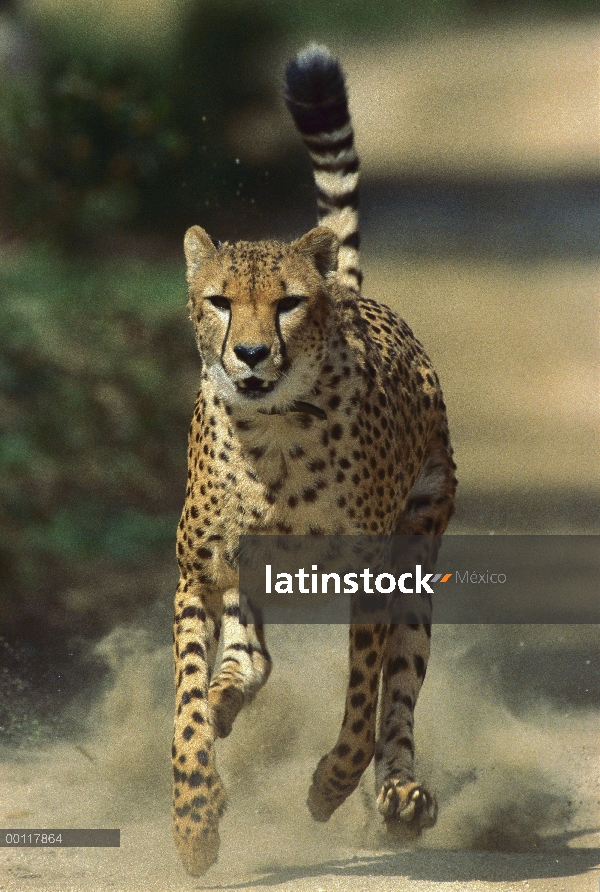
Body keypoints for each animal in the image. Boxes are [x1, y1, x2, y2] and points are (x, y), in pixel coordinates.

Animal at [171, 45, 458, 876]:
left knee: (399, 697)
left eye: (289, 302)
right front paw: (195, 821)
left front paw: (331, 785)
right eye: (220, 300)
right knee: (249, 661)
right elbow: (187, 708)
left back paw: (401, 797)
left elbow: (362, 708)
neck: (272, 435)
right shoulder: (199, 572)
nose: (251, 354)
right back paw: (232, 700)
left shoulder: (370, 579)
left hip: (418, 553)